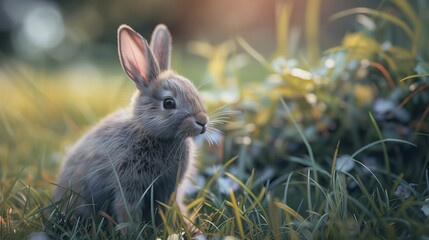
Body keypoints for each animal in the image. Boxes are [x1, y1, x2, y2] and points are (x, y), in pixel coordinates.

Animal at [53, 24, 207, 229]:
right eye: (168, 103)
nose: (203, 121)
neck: (151, 134)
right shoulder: (128, 184)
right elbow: (127, 208)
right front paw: (131, 231)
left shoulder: (168, 188)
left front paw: (188, 228)